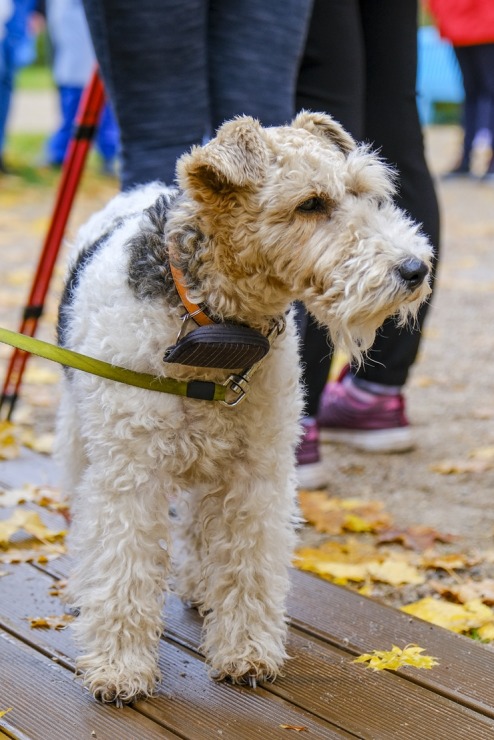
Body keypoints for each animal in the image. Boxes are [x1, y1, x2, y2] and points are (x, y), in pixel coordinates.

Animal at [55, 112, 432, 704]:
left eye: (365, 193)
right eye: (311, 203)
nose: (414, 269)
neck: (217, 330)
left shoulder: (257, 472)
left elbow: (248, 564)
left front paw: (247, 654)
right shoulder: (131, 473)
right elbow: (124, 566)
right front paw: (119, 670)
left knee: (197, 525)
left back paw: (199, 587)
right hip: (82, 436)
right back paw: (81, 589)